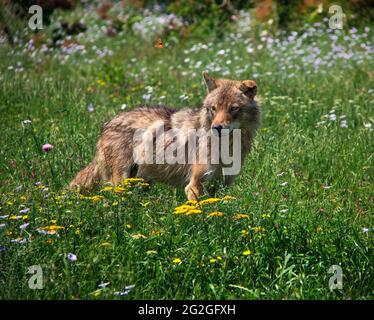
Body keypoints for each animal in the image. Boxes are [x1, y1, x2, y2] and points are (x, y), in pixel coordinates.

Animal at [69, 72, 260, 200]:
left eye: (233, 108)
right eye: (213, 108)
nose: (217, 128)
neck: (227, 147)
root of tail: (107, 125)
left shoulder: (219, 188)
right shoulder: (194, 186)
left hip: (140, 183)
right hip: (121, 183)